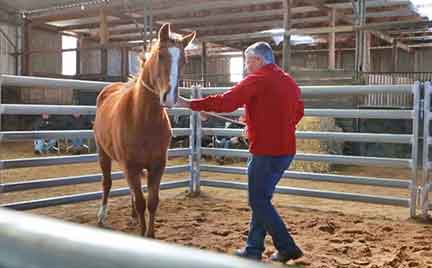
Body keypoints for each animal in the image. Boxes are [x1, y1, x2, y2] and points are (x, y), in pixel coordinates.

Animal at [94, 23, 196, 237]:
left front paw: (150, 234)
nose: (169, 97)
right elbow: (142, 202)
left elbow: (152, 202)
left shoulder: (157, 166)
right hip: (103, 154)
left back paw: (132, 215)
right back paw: (102, 215)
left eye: (184, 60)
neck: (142, 119)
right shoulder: (130, 166)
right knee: (107, 183)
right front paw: (143, 233)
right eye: (160, 55)